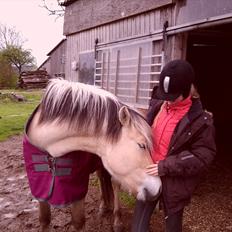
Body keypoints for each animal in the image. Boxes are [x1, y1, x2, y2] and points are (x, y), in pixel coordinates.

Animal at [23, 79, 161, 231]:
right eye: (142, 145)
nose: (158, 188)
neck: (51, 153)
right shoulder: (40, 189)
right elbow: (44, 219)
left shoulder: (77, 189)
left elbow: (78, 221)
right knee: (102, 178)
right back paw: (103, 207)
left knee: (115, 184)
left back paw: (117, 220)